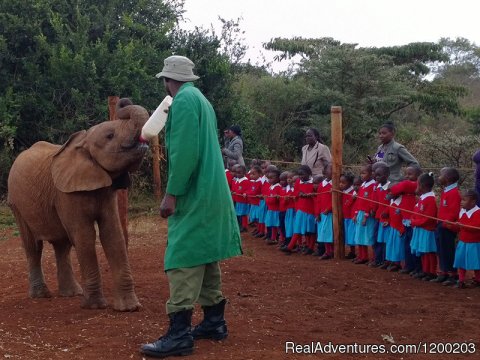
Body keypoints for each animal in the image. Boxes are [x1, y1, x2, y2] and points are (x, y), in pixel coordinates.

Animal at [7, 100, 148, 312]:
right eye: (110, 136)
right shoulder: (66, 193)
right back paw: (41, 295)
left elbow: (112, 234)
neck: (83, 143)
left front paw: (129, 308)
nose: (124, 101)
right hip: (17, 203)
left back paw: (72, 293)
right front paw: (95, 307)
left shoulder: (106, 192)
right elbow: (85, 236)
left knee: (62, 245)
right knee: (33, 246)